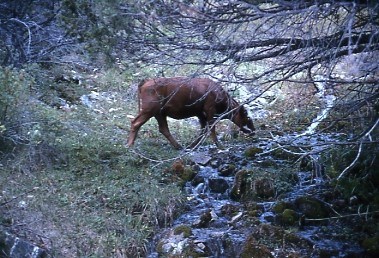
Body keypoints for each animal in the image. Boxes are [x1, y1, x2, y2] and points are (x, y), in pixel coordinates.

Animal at [127, 76, 255, 149]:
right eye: (247, 116)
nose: (253, 131)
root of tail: (146, 81)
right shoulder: (210, 110)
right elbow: (211, 128)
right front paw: (219, 146)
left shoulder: (200, 114)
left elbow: (203, 130)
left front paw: (192, 145)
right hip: (149, 109)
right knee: (135, 122)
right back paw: (129, 145)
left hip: (159, 113)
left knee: (163, 129)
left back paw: (178, 146)